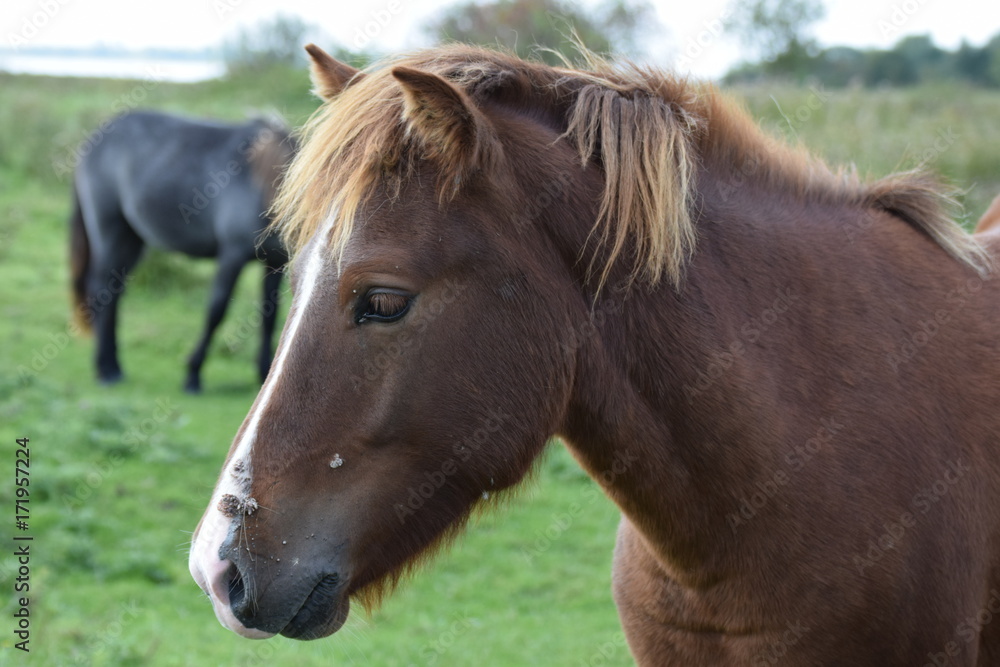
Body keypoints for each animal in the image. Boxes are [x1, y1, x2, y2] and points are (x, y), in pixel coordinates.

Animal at [70, 110, 295, 392]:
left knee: (114, 291)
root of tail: (97, 136)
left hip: (132, 239)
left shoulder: (275, 262)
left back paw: (114, 365)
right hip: (110, 230)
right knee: (100, 289)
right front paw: (193, 373)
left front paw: (265, 374)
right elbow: (216, 311)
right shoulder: (232, 256)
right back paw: (105, 369)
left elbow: (269, 316)